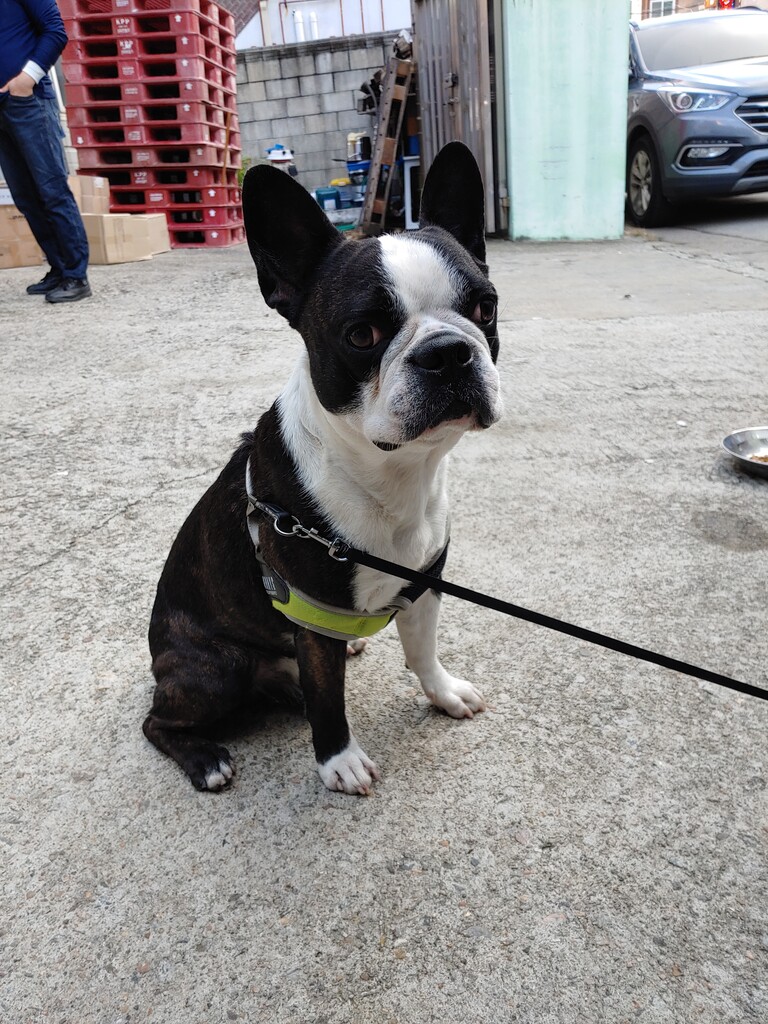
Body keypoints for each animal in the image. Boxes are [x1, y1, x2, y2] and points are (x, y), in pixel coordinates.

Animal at [143, 141, 502, 795]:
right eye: (362, 334)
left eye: (484, 308)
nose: (447, 351)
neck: (392, 474)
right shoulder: (308, 613)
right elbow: (329, 697)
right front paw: (339, 760)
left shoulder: (423, 584)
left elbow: (422, 652)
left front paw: (442, 694)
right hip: (214, 668)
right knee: (158, 720)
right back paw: (206, 758)